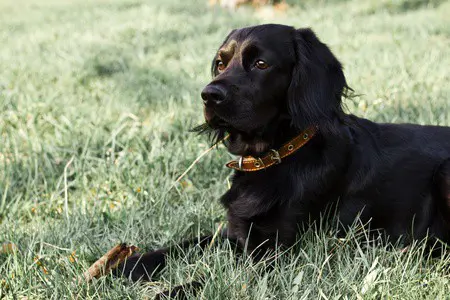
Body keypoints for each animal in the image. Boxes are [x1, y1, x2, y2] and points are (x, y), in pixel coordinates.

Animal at [119, 23, 450, 292]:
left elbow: (210, 281)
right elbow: (185, 244)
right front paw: (126, 265)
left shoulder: (278, 254)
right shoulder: (238, 232)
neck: (276, 157)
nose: (208, 95)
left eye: (261, 63)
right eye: (221, 63)